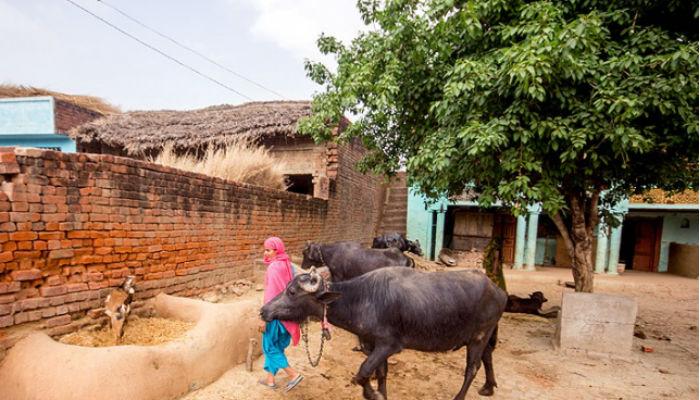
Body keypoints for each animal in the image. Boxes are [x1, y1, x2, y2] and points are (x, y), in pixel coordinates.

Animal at [260, 266, 506, 400]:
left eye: (292, 292)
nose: (264, 311)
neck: (364, 299)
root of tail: (499, 292)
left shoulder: (389, 345)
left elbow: (362, 373)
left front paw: (374, 394)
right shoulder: (373, 345)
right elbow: (380, 374)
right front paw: (381, 393)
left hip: (478, 337)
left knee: (472, 368)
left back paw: (459, 396)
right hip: (482, 336)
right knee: (488, 357)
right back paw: (488, 387)